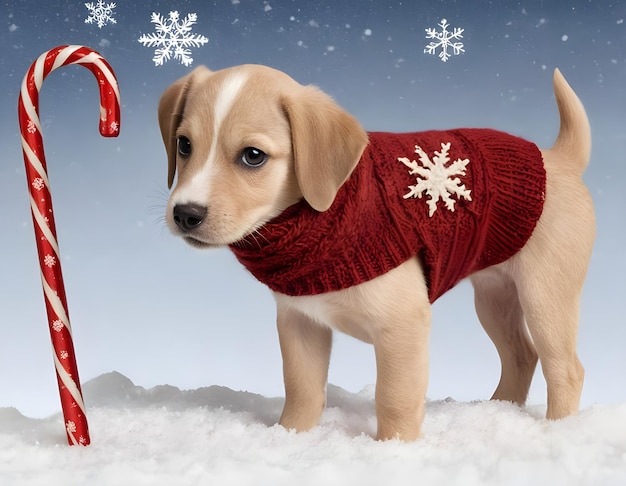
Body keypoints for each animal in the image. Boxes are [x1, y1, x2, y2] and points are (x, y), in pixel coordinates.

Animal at [158, 66, 592, 442]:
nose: (185, 213)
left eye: (253, 156)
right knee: (521, 356)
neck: (325, 216)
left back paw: (558, 432)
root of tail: (558, 159)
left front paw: (392, 450)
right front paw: (291, 437)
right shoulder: (300, 323)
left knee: (565, 369)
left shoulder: (403, 328)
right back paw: (496, 413)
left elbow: (395, 399)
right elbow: (302, 390)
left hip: (544, 299)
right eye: (184, 145)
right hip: (495, 300)